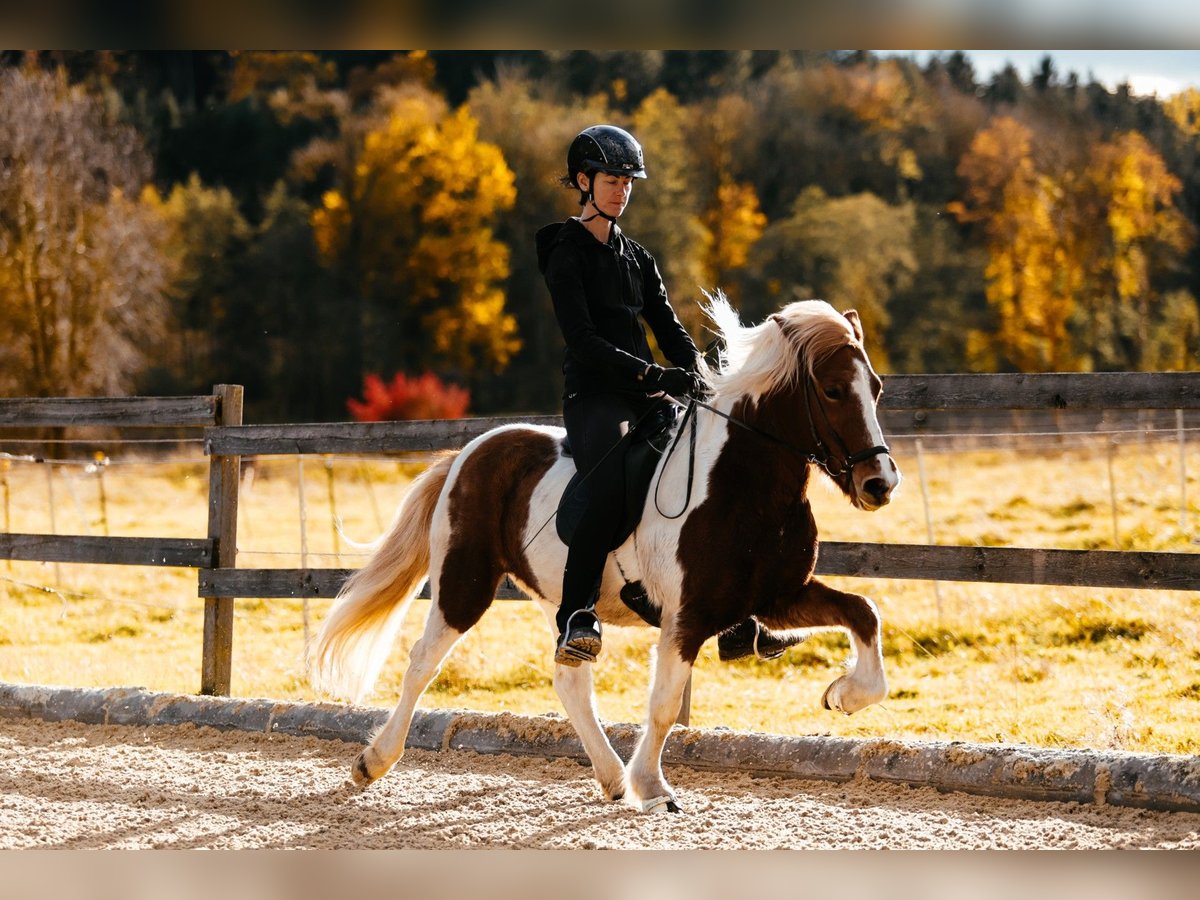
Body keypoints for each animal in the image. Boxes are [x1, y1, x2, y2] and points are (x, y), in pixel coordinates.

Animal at [308, 294, 902, 813]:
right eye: (831, 390)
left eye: (874, 387)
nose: (880, 484)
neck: (744, 484)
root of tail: (469, 452)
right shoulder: (687, 617)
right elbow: (663, 706)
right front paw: (654, 789)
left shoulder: (777, 597)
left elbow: (864, 612)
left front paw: (844, 696)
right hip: (465, 582)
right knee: (422, 663)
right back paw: (373, 762)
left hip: (565, 598)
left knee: (569, 679)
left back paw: (612, 778)